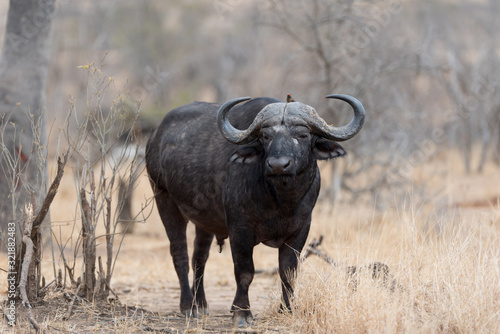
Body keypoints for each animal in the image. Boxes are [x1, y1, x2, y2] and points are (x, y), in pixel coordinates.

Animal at [145, 93, 364, 326]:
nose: (278, 165)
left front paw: (287, 309)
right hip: (164, 199)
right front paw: (242, 313)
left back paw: (201, 303)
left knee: (199, 258)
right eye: (266, 136)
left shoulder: (300, 230)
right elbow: (245, 271)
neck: (280, 199)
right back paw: (188, 306)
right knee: (180, 254)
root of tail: (155, 137)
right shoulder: (240, 229)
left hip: (204, 220)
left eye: (303, 135)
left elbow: (288, 271)